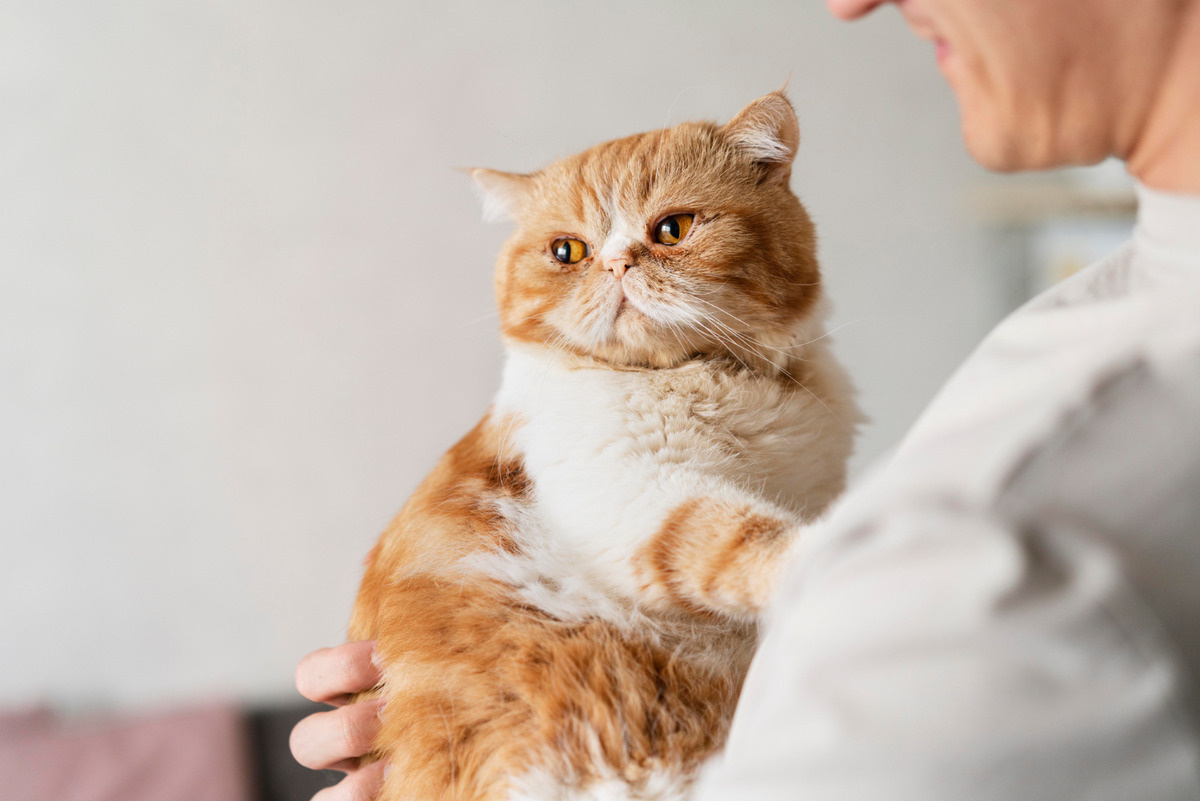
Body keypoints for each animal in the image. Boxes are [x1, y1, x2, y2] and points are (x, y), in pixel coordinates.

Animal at [348, 92, 864, 801]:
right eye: (568, 250)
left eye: (673, 229)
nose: (618, 264)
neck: (713, 384)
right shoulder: (629, 492)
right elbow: (741, 539)